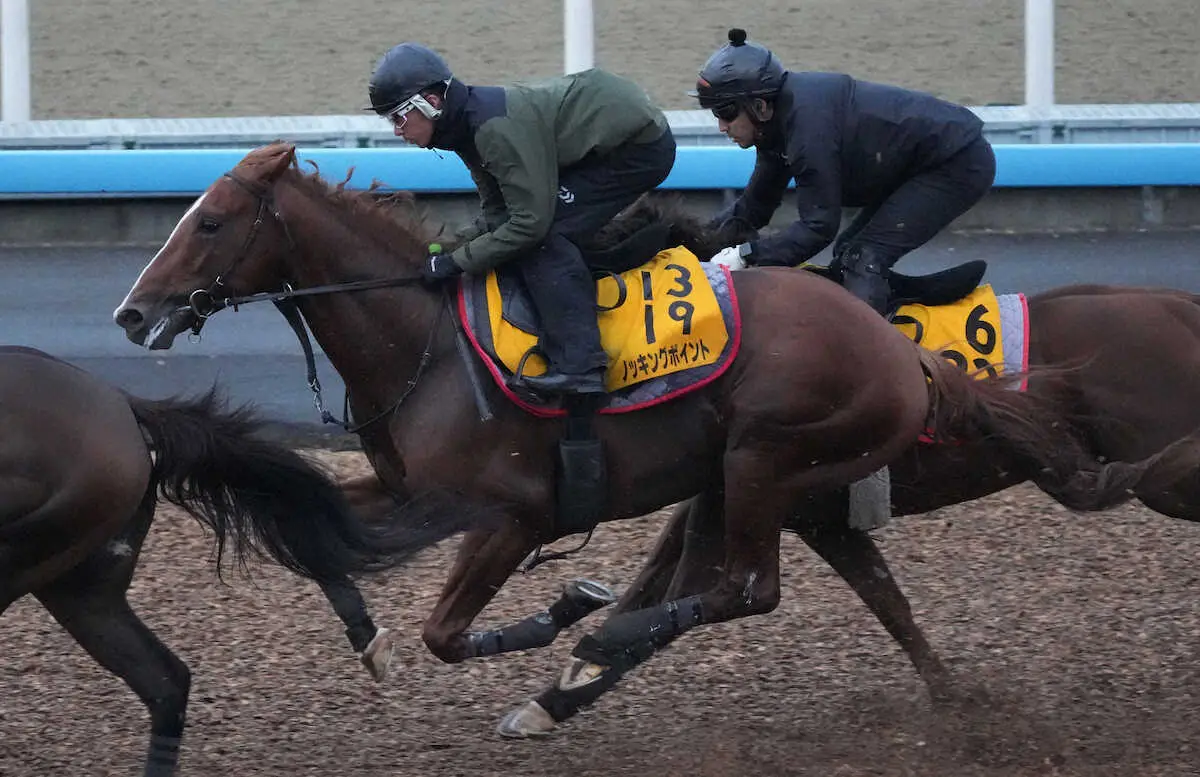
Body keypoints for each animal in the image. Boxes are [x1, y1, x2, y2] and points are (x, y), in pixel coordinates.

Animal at [108, 137, 1176, 724]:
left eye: (210, 222)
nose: (131, 313)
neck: (427, 342)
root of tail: (897, 351)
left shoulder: (515, 515)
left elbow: (448, 632)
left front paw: (569, 614)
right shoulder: (412, 490)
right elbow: (315, 531)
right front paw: (375, 641)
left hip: (764, 455)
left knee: (748, 588)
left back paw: (608, 627)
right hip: (762, 476)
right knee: (748, 584)